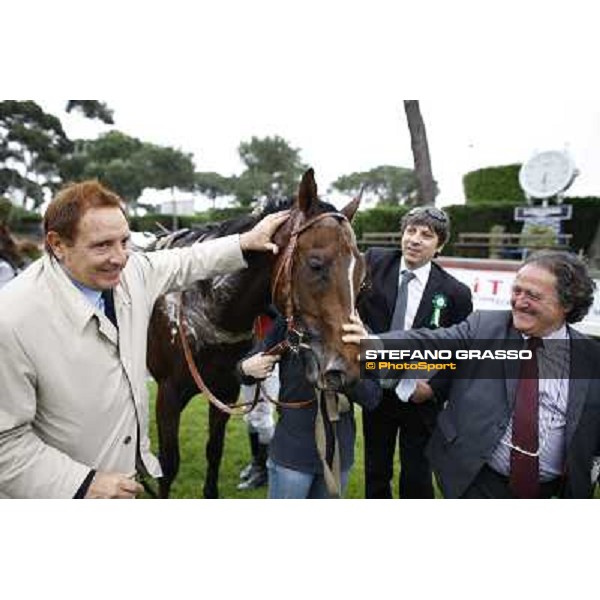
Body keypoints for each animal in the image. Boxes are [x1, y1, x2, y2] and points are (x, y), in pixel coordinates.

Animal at [147, 169, 364, 496]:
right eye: (316, 264)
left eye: (361, 273)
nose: (346, 368)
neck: (206, 308)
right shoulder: (168, 393)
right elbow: (168, 465)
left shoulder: (224, 391)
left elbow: (214, 451)